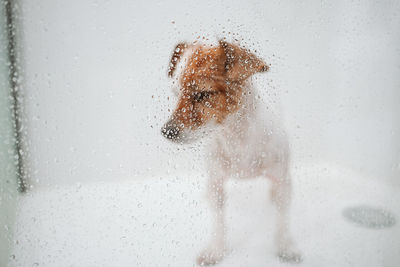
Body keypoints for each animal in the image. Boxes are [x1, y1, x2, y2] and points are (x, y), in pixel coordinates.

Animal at [161, 39, 302, 266]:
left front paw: (286, 246)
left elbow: (282, 220)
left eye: (202, 94)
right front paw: (216, 250)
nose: (166, 131)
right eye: (175, 94)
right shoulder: (217, 183)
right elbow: (219, 222)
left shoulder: (281, 176)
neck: (236, 137)